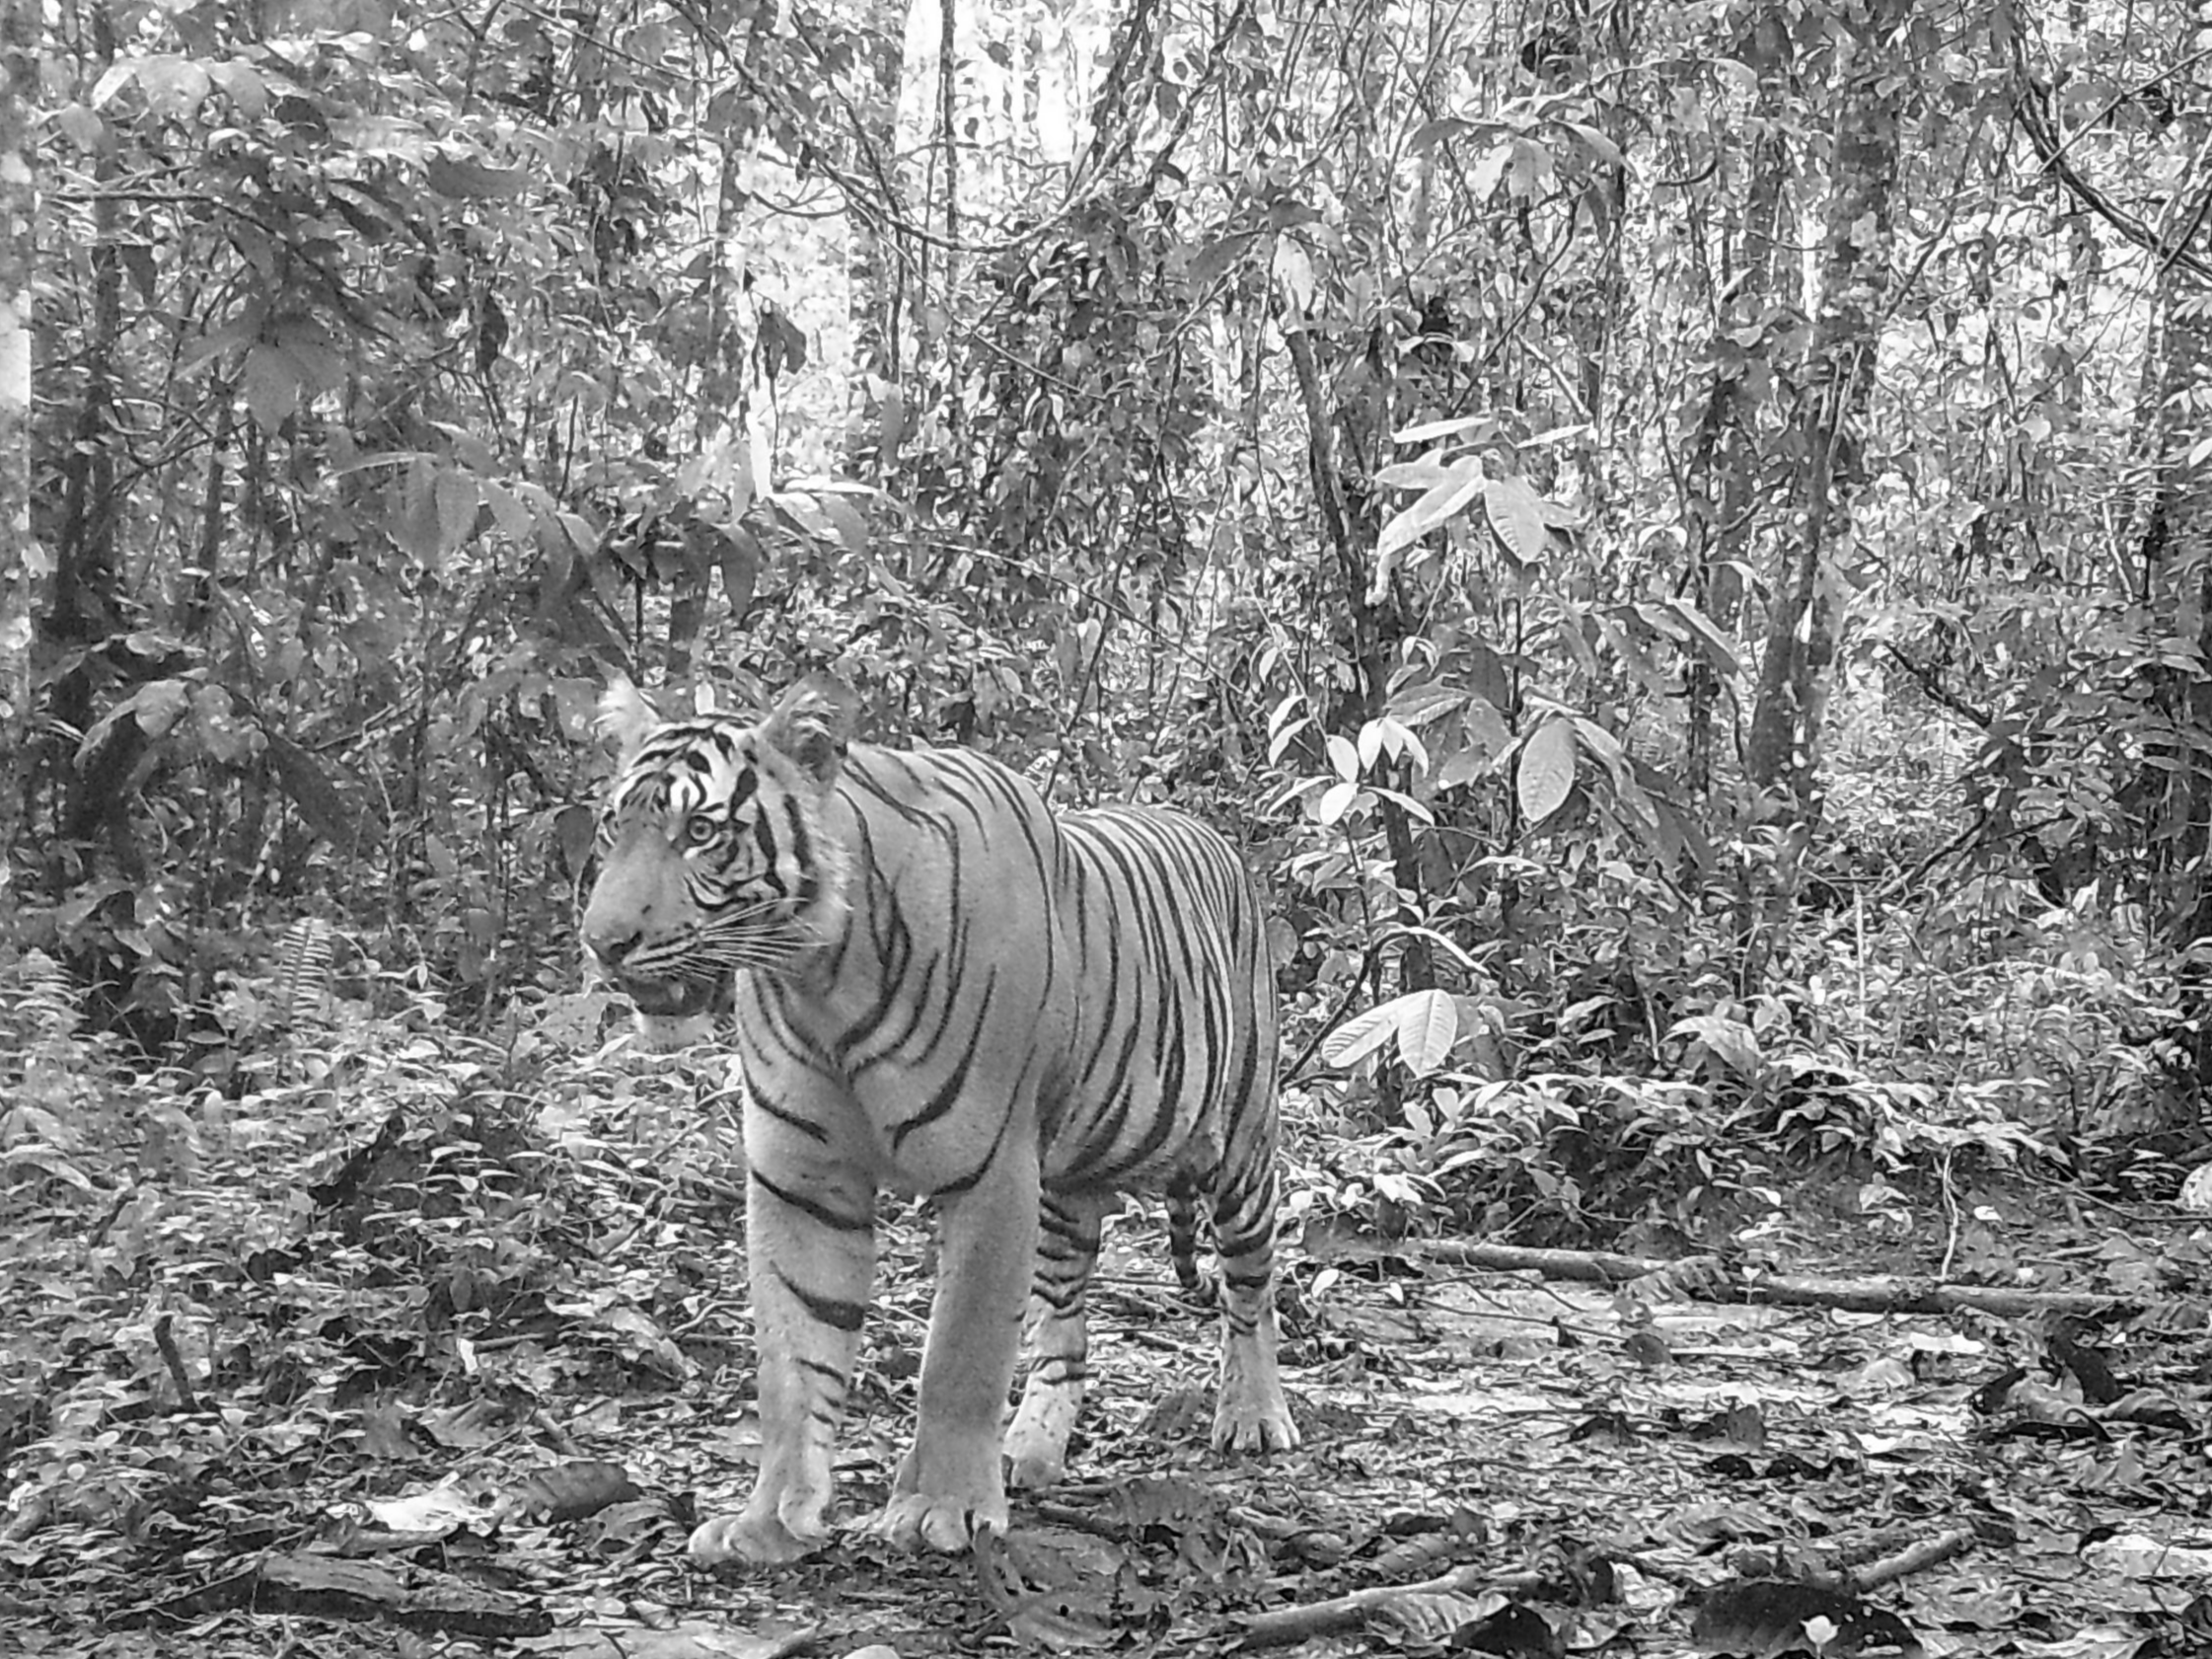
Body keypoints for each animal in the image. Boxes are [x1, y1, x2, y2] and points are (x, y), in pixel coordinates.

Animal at [578, 676, 1299, 1565]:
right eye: (614, 826)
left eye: (702, 832)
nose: (602, 942)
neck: (819, 981)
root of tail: (1211, 831)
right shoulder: (802, 1181)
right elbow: (792, 1359)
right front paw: (768, 1518)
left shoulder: (991, 1174)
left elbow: (960, 1351)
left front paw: (939, 1507)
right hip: (1064, 1191)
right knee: (1063, 1328)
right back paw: (1030, 1446)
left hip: (1240, 1147)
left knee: (1252, 1286)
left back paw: (1253, 1415)